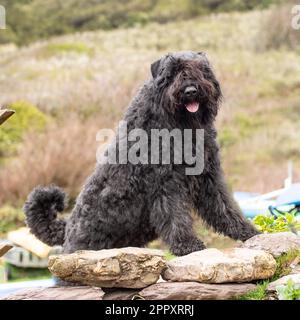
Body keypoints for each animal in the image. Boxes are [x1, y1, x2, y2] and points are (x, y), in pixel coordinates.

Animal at [23, 51, 258, 256]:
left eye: (202, 69)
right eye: (172, 72)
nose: (191, 90)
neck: (176, 123)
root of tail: (67, 229)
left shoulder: (208, 176)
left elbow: (224, 207)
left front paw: (247, 231)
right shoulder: (166, 184)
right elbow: (175, 216)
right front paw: (188, 245)